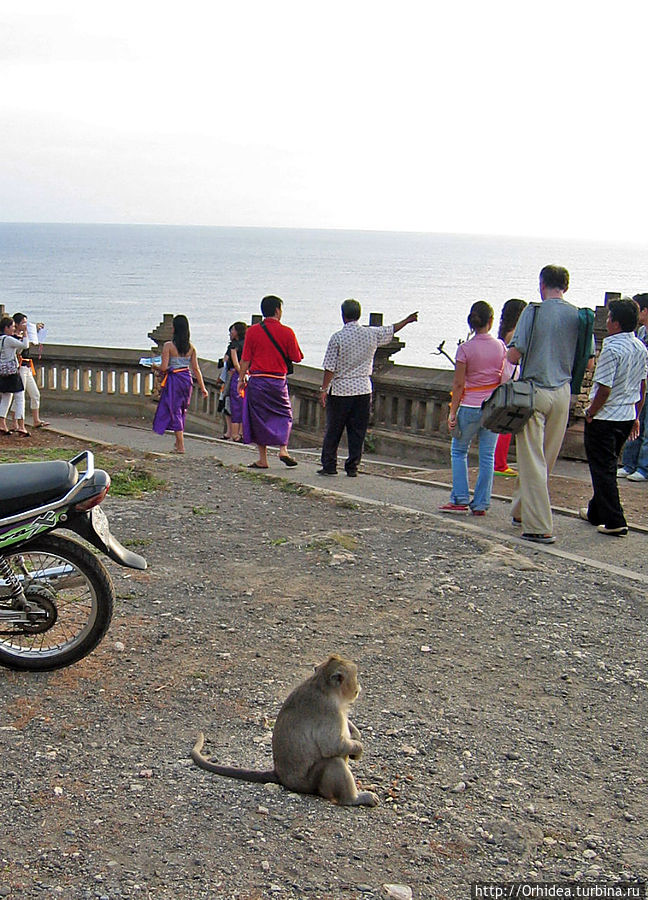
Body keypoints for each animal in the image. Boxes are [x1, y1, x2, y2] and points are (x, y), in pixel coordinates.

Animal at [190, 652, 378, 808]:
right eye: (355, 677)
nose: (359, 686)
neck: (323, 686)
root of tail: (279, 774)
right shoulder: (330, 712)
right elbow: (332, 746)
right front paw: (358, 748)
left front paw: (356, 734)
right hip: (308, 783)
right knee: (333, 762)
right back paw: (353, 799)